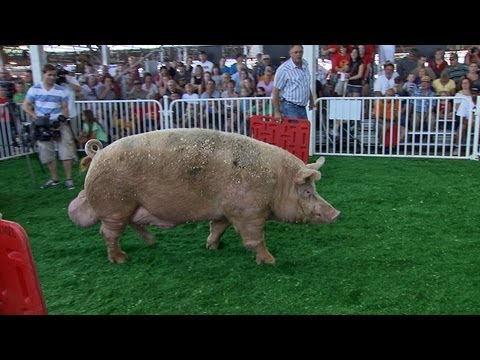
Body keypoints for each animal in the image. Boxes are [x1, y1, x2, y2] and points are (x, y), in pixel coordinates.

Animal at [68, 129, 342, 264]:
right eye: (308, 192)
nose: (336, 212)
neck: (277, 183)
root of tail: (97, 154)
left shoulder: (225, 211)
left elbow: (217, 228)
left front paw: (213, 247)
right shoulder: (248, 212)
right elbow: (254, 240)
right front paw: (270, 261)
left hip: (132, 205)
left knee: (133, 224)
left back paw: (152, 243)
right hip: (115, 205)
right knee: (108, 233)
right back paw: (121, 260)